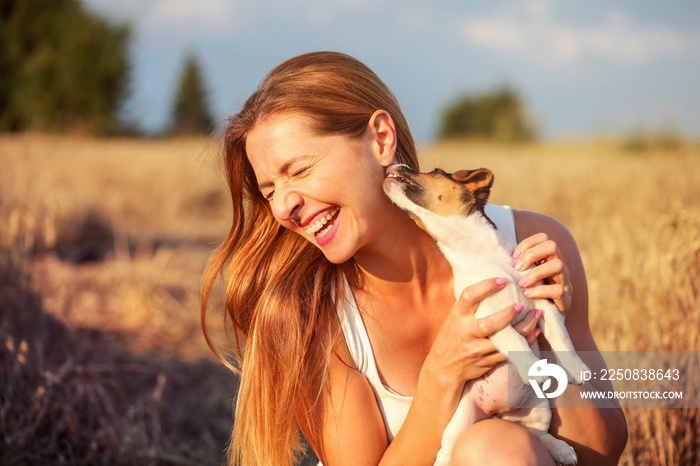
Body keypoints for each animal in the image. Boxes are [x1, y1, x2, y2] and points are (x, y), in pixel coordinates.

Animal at [382, 166, 592, 464]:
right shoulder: (488, 318)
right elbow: (516, 341)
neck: (479, 252)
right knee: (448, 445)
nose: (394, 167)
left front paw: (577, 368)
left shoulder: (545, 303)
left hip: (540, 408)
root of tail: (498, 413)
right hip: (462, 417)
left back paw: (561, 449)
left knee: (539, 434)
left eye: (435, 171)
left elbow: (563, 339)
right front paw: (531, 365)